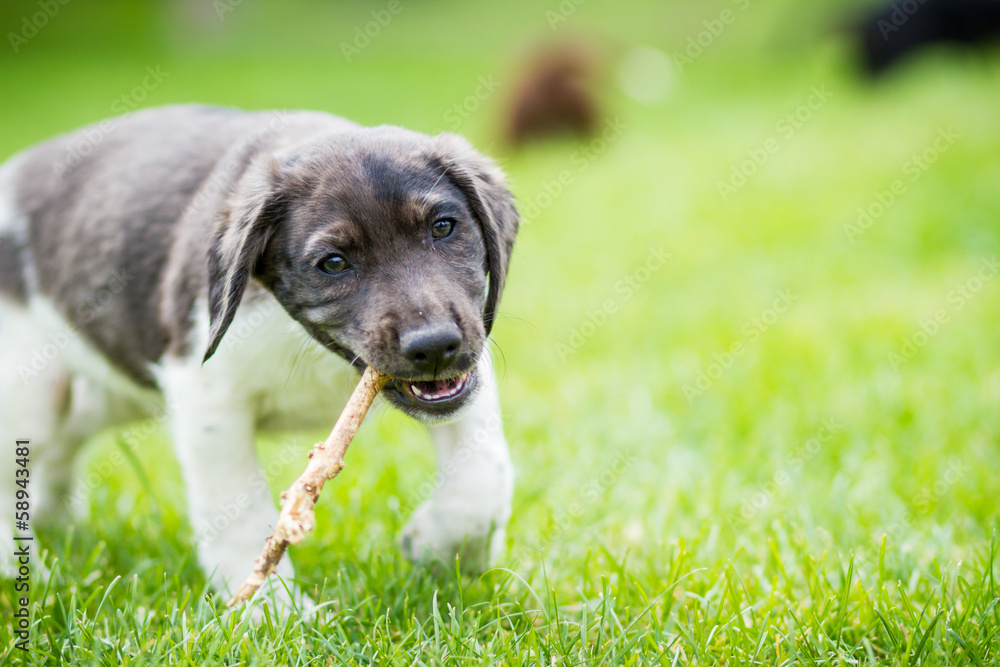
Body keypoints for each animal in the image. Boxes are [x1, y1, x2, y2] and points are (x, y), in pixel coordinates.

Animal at [0, 105, 516, 612]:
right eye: (333, 263)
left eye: (443, 227)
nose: (434, 346)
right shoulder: (206, 399)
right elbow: (238, 513)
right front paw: (271, 611)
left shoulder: (472, 361)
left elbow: (483, 477)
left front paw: (443, 547)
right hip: (31, 397)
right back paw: (23, 574)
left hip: (94, 396)